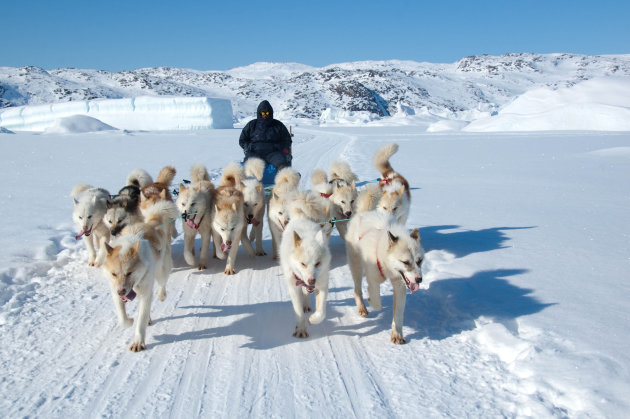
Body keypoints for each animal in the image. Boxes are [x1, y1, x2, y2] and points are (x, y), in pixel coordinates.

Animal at [102, 202, 175, 352]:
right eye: (114, 274)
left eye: (129, 272)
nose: (121, 291)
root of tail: (151, 223)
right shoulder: (115, 292)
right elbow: (122, 319)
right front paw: (129, 321)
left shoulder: (146, 293)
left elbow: (141, 319)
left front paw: (138, 342)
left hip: (162, 271)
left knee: (162, 283)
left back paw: (161, 295)